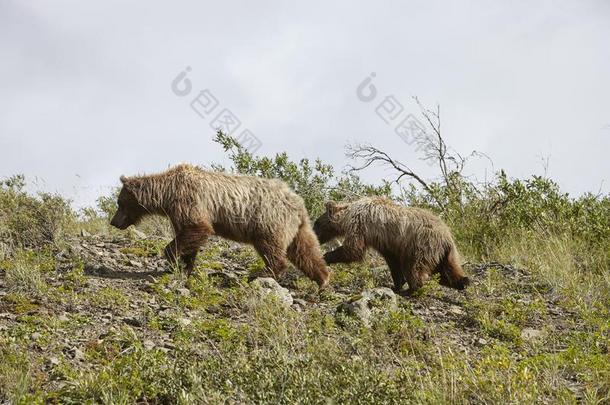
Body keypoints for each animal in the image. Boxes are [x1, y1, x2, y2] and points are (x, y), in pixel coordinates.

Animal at [109, 163, 328, 286]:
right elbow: (189, 237)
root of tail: (298, 202)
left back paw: (261, 274)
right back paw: (323, 278)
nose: (113, 221)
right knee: (306, 250)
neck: (168, 194)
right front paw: (186, 265)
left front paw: (172, 260)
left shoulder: (190, 201)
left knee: (272, 249)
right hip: (298, 228)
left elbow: (197, 228)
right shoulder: (178, 212)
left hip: (268, 220)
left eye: (120, 203)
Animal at [312, 197, 468, 292]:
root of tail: (447, 237)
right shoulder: (386, 241)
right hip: (446, 253)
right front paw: (397, 284)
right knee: (449, 269)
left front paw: (326, 257)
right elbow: (392, 261)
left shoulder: (360, 225)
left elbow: (353, 249)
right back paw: (463, 281)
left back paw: (414, 287)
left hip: (423, 244)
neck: (348, 215)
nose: (314, 235)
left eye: (316, 223)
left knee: (415, 267)